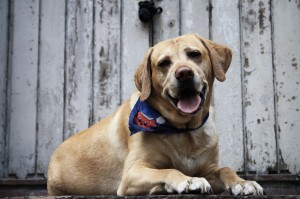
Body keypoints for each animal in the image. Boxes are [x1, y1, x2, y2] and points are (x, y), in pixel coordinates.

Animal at [47, 33, 264, 196]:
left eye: (194, 54)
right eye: (163, 63)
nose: (184, 73)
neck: (183, 131)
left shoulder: (210, 169)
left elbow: (226, 169)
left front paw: (243, 183)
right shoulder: (132, 172)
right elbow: (169, 170)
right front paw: (188, 180)